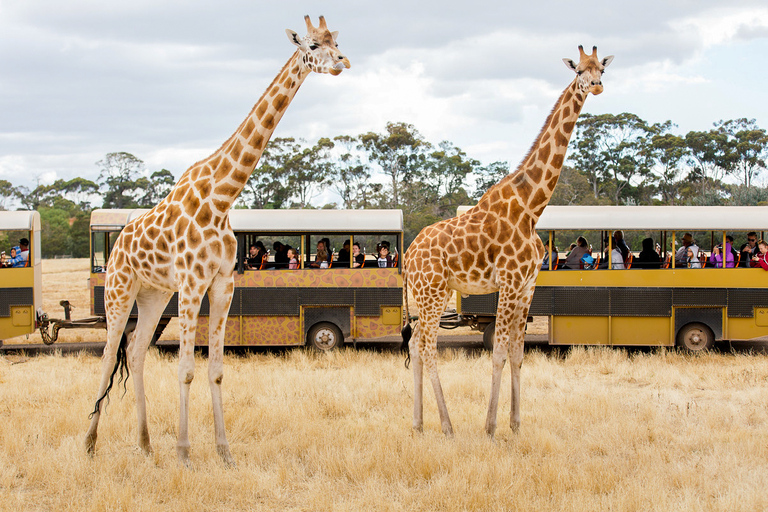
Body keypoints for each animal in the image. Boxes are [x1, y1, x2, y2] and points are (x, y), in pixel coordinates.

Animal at [85, 16, 352, 466]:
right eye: (314, 45)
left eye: (338, 41)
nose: (342, 62)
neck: (223, 195)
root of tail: (117, 243)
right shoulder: (193, 283)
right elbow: (186, 369)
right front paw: (184, 453)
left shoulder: (223, 283)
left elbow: (216, 369)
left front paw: (224, 452)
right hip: (120, 290)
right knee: (107, 355)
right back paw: (89, 444)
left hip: (153, 294)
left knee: (135, 352)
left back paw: (145, 445)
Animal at [402, 46, 612, 436]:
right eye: (579, 70)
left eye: (601, 68)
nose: (596, 86)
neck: (532, 207)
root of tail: (407, 255)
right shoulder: (510, 282)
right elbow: (498, 352)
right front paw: (490, 427)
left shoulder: (529, 285)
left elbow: (517, 353)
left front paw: (515, 425)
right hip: (433, 292)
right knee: (428, 348)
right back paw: (447, 426)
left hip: (429, 294)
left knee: (414, 344)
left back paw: (419, 423)